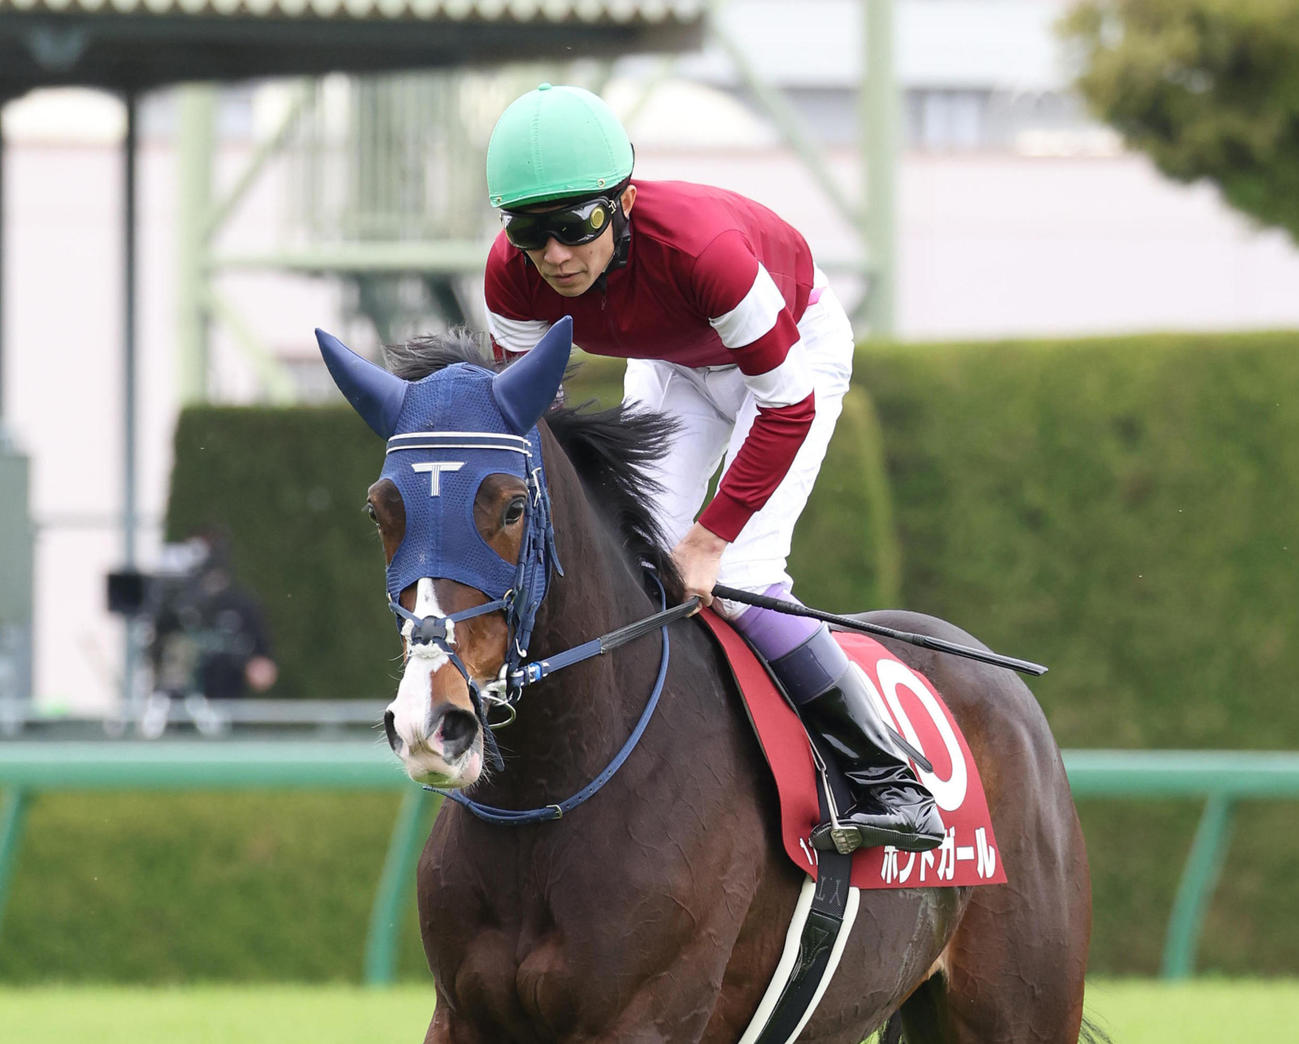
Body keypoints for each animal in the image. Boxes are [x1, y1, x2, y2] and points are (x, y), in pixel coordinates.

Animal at [316, 318, 1103, 1043]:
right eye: (381, 508)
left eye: (511, 506)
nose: (430, 724)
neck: (554, 792)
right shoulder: (463, 1015)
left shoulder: (644, 1016)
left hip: (1017, 1005)